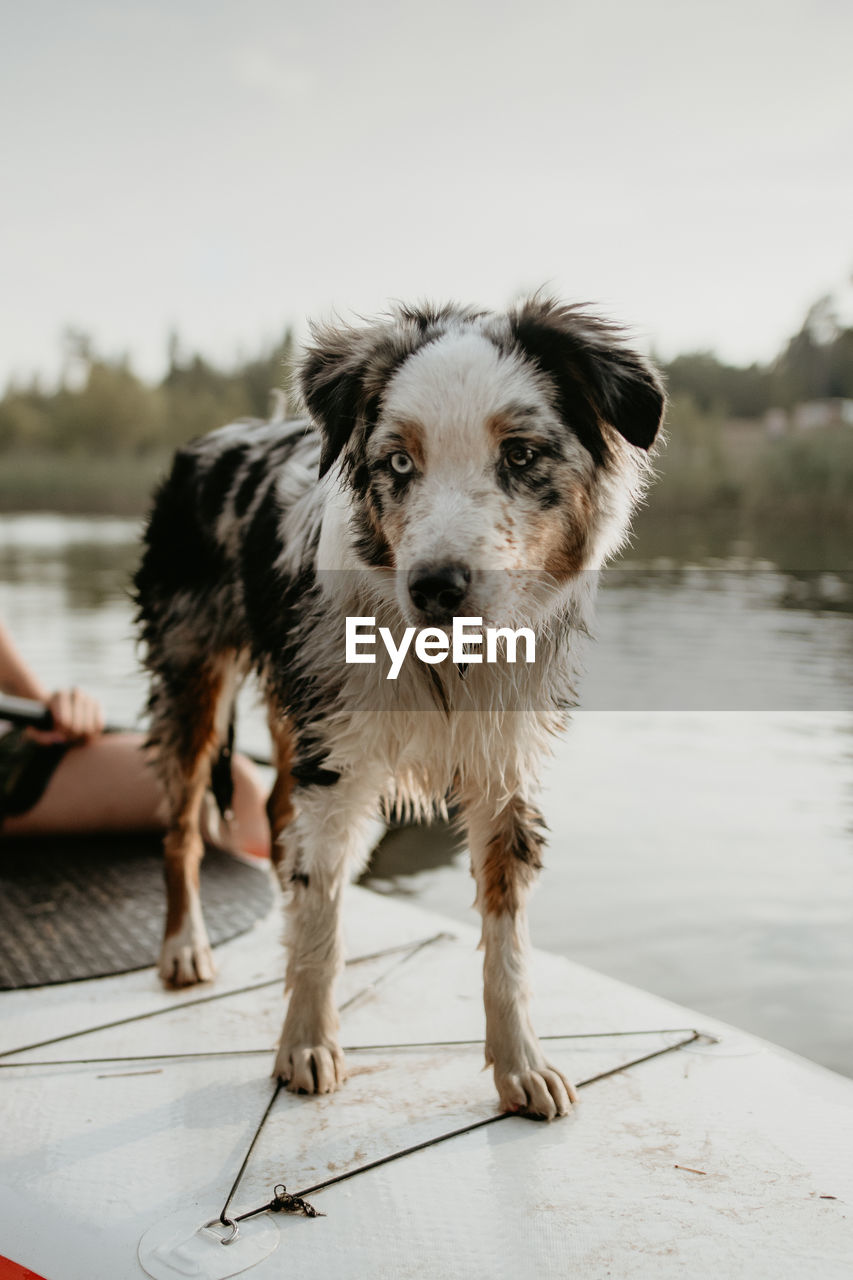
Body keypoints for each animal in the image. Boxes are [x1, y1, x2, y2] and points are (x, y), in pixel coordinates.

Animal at [133, 294, 666, 1116]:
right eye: (399, 463)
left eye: (519, 456)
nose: (437, 587)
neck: (442, 662)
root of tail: (214, 440)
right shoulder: (340, 759)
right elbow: (322, 913)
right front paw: (306, 1044)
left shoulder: (502, 764)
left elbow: (506, 941)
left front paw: (521, 1065)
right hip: (195, 675)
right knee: (184, 827)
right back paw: (185, 946)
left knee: (277, 817)